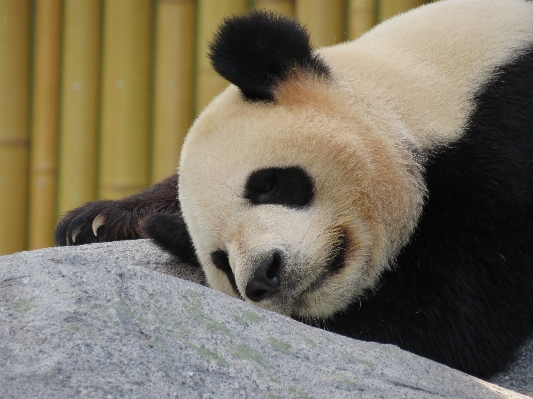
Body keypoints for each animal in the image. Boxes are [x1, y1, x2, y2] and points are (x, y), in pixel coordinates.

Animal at [54, 0, 532, 380]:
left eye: (268, 184)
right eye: (220, 260)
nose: (265, 275)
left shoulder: (500, 139)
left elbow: (454, 314)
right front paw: (96, 221)